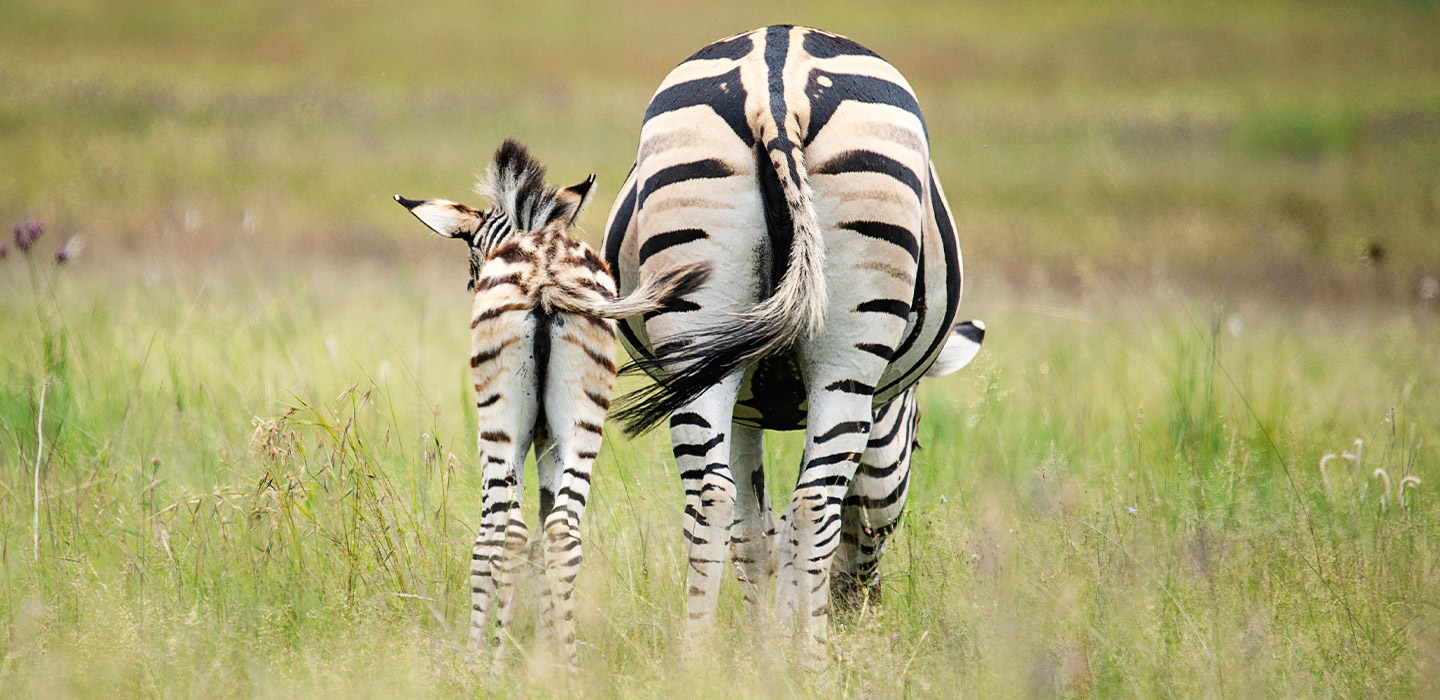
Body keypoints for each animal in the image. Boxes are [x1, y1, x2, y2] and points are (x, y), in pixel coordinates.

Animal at [394, 140, 709, 669]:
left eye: (472, 253)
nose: (469, 285)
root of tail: (545, 274)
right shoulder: (547, 441)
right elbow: (545, 536)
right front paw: (545, 647)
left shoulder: (522, 438)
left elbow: (489, 544)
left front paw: (478, 652)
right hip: (582, 419)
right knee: (562, 531)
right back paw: (570, 666)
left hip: (499, 421)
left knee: (511, 533)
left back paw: (496, 665)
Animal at [601, 25, 975, 642]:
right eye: (917, 441)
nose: (861, 609)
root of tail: (775, 82)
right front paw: (783, 638)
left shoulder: (742, 405)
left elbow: (753, 531)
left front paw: (761, 646)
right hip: (848, 359)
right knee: (814, 505)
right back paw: (812, 652)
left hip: (695, 336)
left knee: (712, 498)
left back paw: (696, 654)